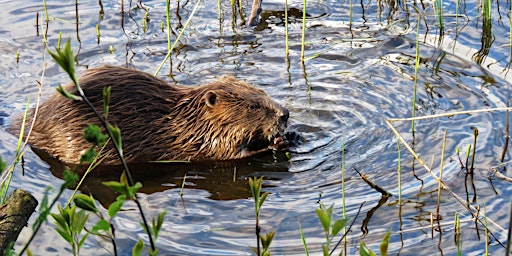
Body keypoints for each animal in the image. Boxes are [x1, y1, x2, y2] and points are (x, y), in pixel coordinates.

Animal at [26, 65, 288, 164]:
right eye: (253, 106)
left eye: (262, 92)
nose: (285, 114)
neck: (189, 119)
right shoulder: (201, 142)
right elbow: (228, 154)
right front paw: (277, 142)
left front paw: (291, 136)